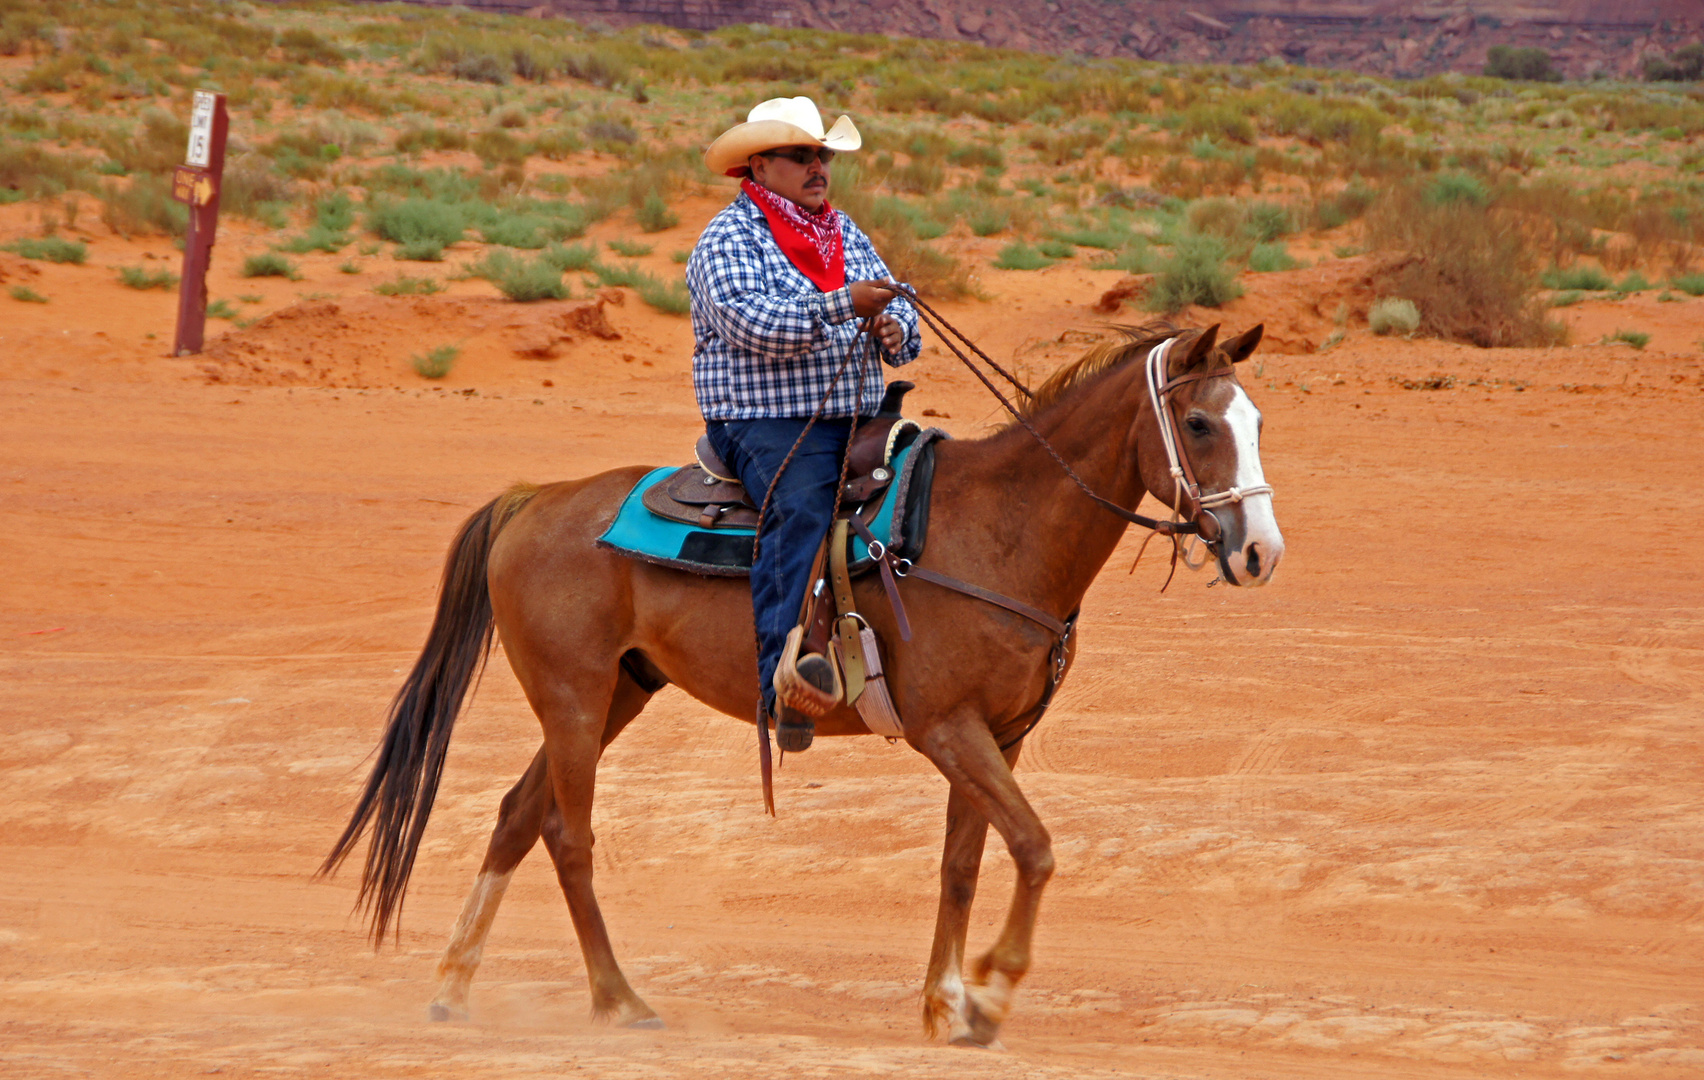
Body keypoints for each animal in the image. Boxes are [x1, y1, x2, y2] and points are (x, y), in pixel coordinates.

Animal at [322, 316, 1281, 1042]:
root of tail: (534, 499)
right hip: (573, 698)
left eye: (1259, 423)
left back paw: (454, 985)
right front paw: (992, 991)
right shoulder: (948, 729)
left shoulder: (999, 736)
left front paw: (945, 1003)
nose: (1260, 554)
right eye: (1200, 425)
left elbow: (965, 863)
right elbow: (1036, 848)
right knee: (567, 834)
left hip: (618, 692)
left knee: (519, 816)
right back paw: (619, 1000)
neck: (999, 530)